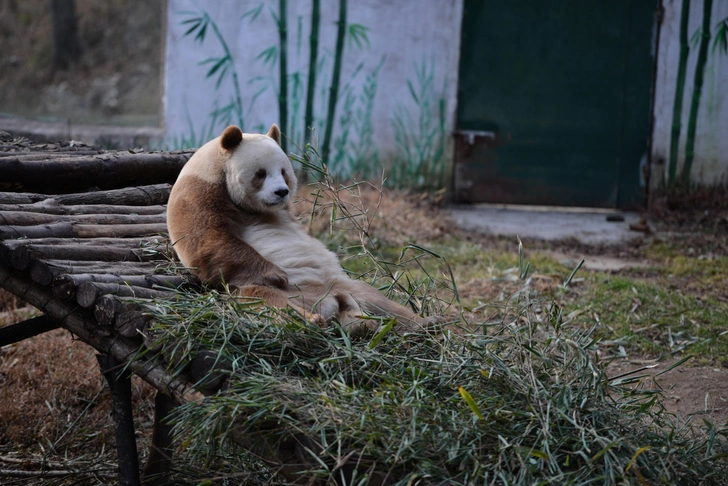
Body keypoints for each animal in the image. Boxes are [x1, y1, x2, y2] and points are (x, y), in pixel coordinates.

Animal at [169, 123, 432, 332]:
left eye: (284, 172)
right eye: (260, 174)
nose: (281, 192)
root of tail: (331, 303)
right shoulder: (201, 191)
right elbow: (206, 241)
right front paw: (276, 274)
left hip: (344, 285)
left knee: (378, 301)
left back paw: (422, 323)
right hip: (265, 291)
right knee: (266, 300)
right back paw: (311, 320)